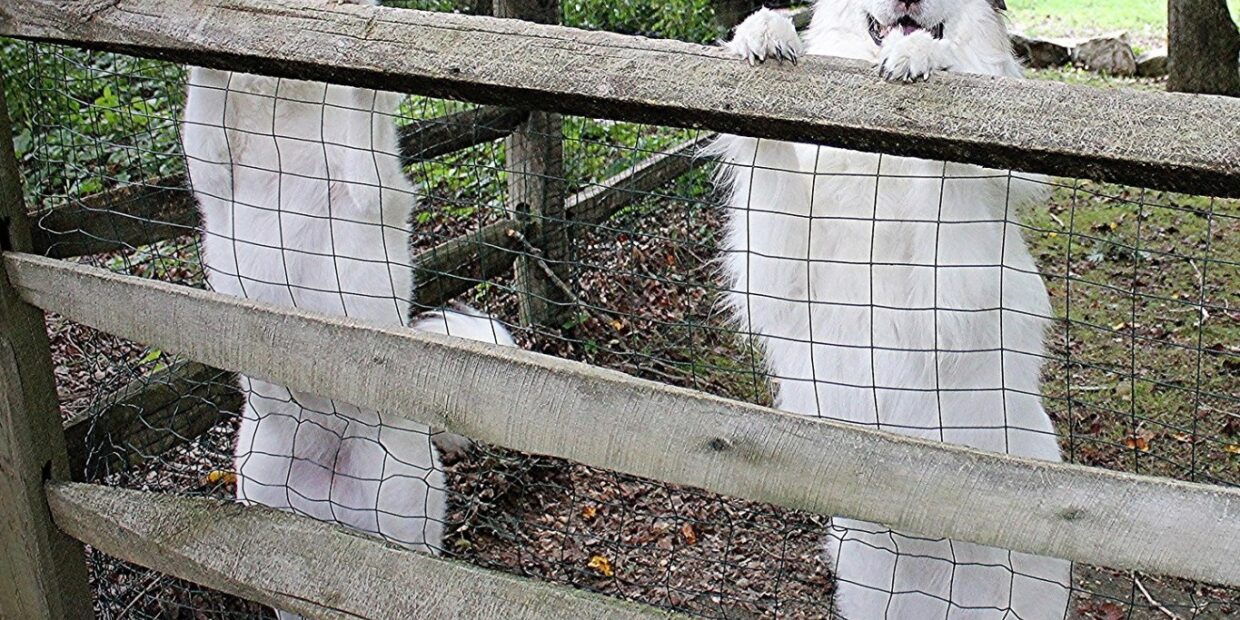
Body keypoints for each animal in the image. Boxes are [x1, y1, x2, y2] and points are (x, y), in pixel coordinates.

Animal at [179, 3, 513, 615]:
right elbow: (204, 99)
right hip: (270, 520)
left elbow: (363, 109)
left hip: (403, 525)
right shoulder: (213, 171)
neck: (289, 116)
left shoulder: (371, 187)